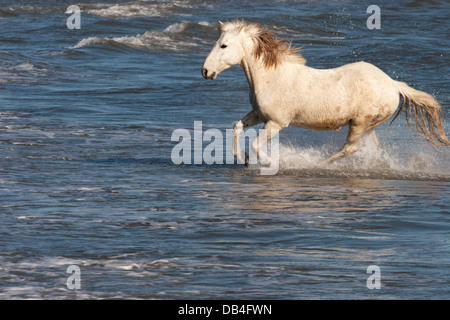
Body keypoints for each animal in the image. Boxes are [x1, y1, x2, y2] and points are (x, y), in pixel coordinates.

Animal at [202, 19, 448, 166]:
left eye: (223, 45)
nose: (205, 71)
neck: (272, 78)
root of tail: (392, 84)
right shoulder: (259, 114)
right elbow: (237, 126)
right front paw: (242, 158)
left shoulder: (276, 122)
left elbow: (255, 144)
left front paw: (270, 163)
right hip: (368, 125)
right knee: (370, 147)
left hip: (359, 123)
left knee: (350, 148)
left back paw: (319, 165)